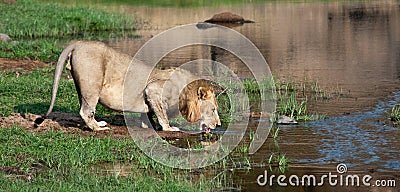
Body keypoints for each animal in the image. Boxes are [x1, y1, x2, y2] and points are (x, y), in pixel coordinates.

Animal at [47, 41, 222, 131]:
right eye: (213, 109)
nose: (218, 124)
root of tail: (78, 43)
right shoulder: (153, 89)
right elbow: (162, 114)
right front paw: (169, 128)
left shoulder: (149, 96)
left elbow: (149, 113)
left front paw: (148, 125)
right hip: (92, 85)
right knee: (85, 111)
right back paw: (98, 127)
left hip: (82, 86)